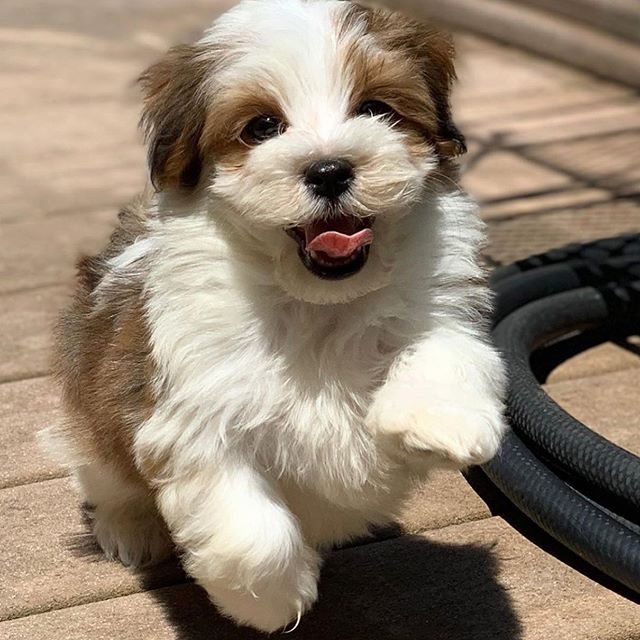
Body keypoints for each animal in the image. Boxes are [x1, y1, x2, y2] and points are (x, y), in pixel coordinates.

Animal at [45, 0, 508, 632]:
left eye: (376, 109)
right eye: (262, 127)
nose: (330, 170)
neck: (317, 306)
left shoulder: (439, 307)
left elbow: (447, 346)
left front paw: (437, 420)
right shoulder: (192, 414)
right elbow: (252, 535)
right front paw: (269, 601)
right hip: (93, 410)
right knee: (105, 475)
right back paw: (129, 528)